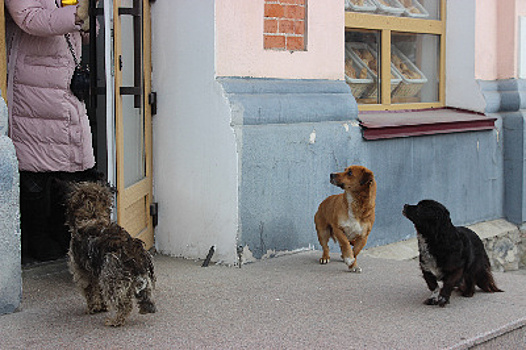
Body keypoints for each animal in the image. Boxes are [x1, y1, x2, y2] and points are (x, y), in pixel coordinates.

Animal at [66, 182, 157, 326]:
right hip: (142, 278)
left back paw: (115, 321)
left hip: (111, 279)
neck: (92, 216)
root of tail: (134, 251)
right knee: (146, 296)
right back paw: (145, 308)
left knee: (124, 304)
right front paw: (102, 307)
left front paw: (92, 308)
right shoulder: (97, 273)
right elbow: (98, 291)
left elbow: (90, 292)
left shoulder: (84, 273)